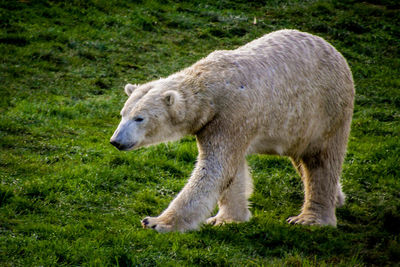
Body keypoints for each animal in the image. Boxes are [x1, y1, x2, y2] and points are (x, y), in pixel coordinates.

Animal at [109, 30, 354, 233]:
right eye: (122, 114)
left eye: (139, 118)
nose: (116, 141)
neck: (210, 85)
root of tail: (334, 51)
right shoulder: (211, 123)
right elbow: (232, 172)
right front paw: (227, 219)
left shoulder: (233, 114)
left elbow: (215, 168)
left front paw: (156, 222)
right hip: (301, 124)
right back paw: (338, 198)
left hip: (327, 110)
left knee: (321, 161)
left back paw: (309, 219)